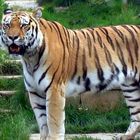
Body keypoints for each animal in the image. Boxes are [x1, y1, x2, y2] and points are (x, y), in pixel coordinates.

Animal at [0, 8, 140, 139]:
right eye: (7, 25)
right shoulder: (35, 92)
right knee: (136, 115)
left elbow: (53, 121)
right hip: (130, 86)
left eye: (24, 25)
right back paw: (126, 137)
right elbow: (42, 122)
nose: (12, 37)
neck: (29, 57)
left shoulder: (54, 88)